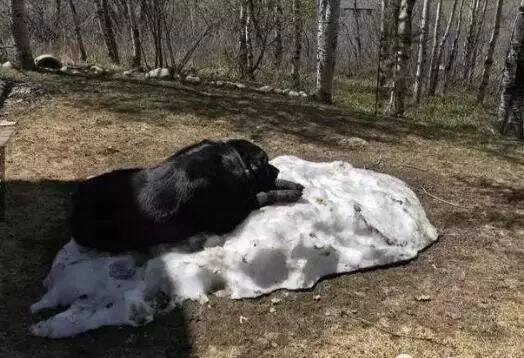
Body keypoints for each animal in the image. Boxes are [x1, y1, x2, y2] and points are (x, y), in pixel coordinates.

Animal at [71, 138, 304, 252]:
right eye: (264, 162)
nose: (277, 170)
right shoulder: (230, 215)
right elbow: (264, 194)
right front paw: (291, 193)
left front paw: (297, 185)